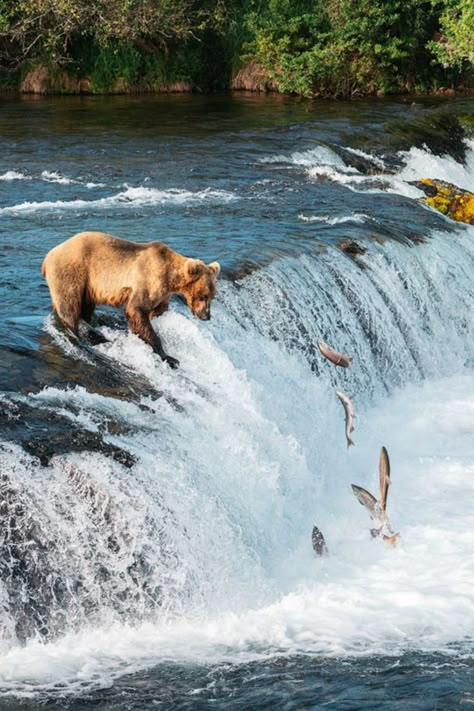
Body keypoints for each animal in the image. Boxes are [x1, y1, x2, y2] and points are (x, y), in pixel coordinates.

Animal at [42, 232, 220, 370]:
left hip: (87, 286)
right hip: (72, 271)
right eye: (203, 295)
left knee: (85, 308)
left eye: (212, 296)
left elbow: (156, 311)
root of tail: (48, 256)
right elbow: (136, 309)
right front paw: (169, 357)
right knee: (69, 306)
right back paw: (75, 335)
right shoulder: (148, 279)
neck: (171, 278)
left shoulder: (163, 294)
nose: (207, 316)